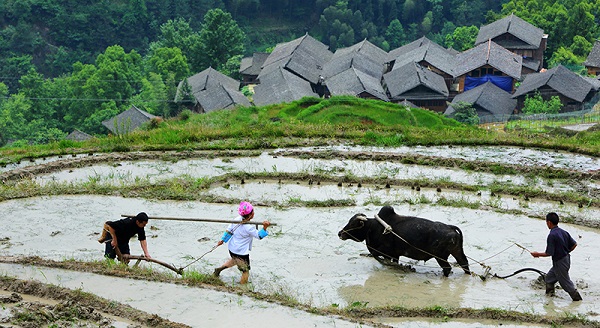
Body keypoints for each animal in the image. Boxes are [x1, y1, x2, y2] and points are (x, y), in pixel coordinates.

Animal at [338, 205, 468, 276]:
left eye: (352, 223)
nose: (340, 233)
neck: (373, 227)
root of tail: (450, 228)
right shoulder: (395, 254)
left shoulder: (385, 251)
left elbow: (377, 256)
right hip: (457, 252)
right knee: (464, 263)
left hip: (440, 256)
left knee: (447, 268)